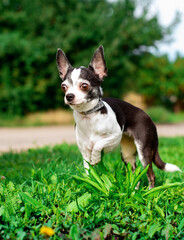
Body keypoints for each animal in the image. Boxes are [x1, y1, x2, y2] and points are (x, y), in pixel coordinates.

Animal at [56, 44, 181, 188]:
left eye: (84, 86)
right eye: (64, 87)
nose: (69, 96)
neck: (89, 116)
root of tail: (147, 116)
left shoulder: (114, 136)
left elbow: (98, 144)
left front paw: (96, 157)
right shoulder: (85, 154)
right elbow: (89, 174)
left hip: (144, 152)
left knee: (150, 174)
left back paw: (149, 190)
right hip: (127, 154)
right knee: (134, 174)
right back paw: (134, 190)